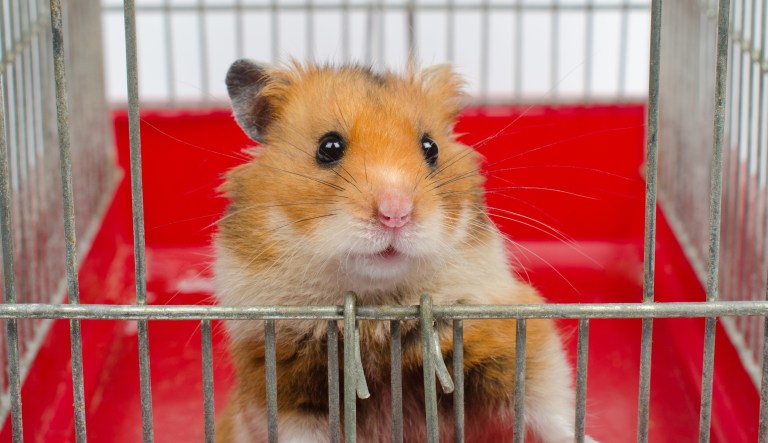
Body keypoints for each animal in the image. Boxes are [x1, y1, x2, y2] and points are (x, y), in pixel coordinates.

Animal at [215, 60, 596, 443]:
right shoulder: (285, 393)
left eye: (431, 148)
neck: (381, 311)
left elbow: (549, 410)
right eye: (329, 147)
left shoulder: (513, 350)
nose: (395, 214)